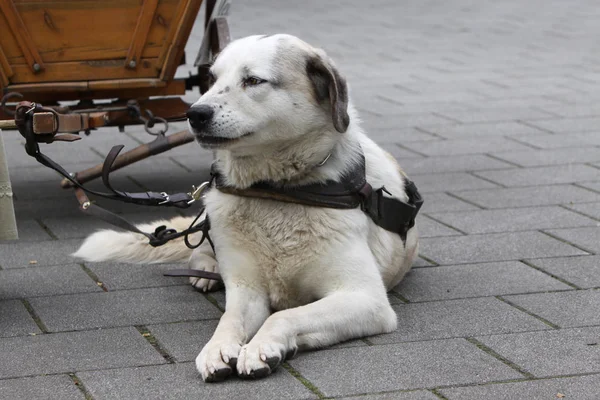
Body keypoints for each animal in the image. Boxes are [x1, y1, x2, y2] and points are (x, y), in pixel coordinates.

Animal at [75, 34, 420, 382]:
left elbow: (284, 316)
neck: (275, 192)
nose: (194, 114)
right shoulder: (247, 290)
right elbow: (229, 319)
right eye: (212, 79)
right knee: (199, 245)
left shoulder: (365, 299)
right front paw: (217, 349)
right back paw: (207, 272)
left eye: (253, 80)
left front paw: (262, 347)